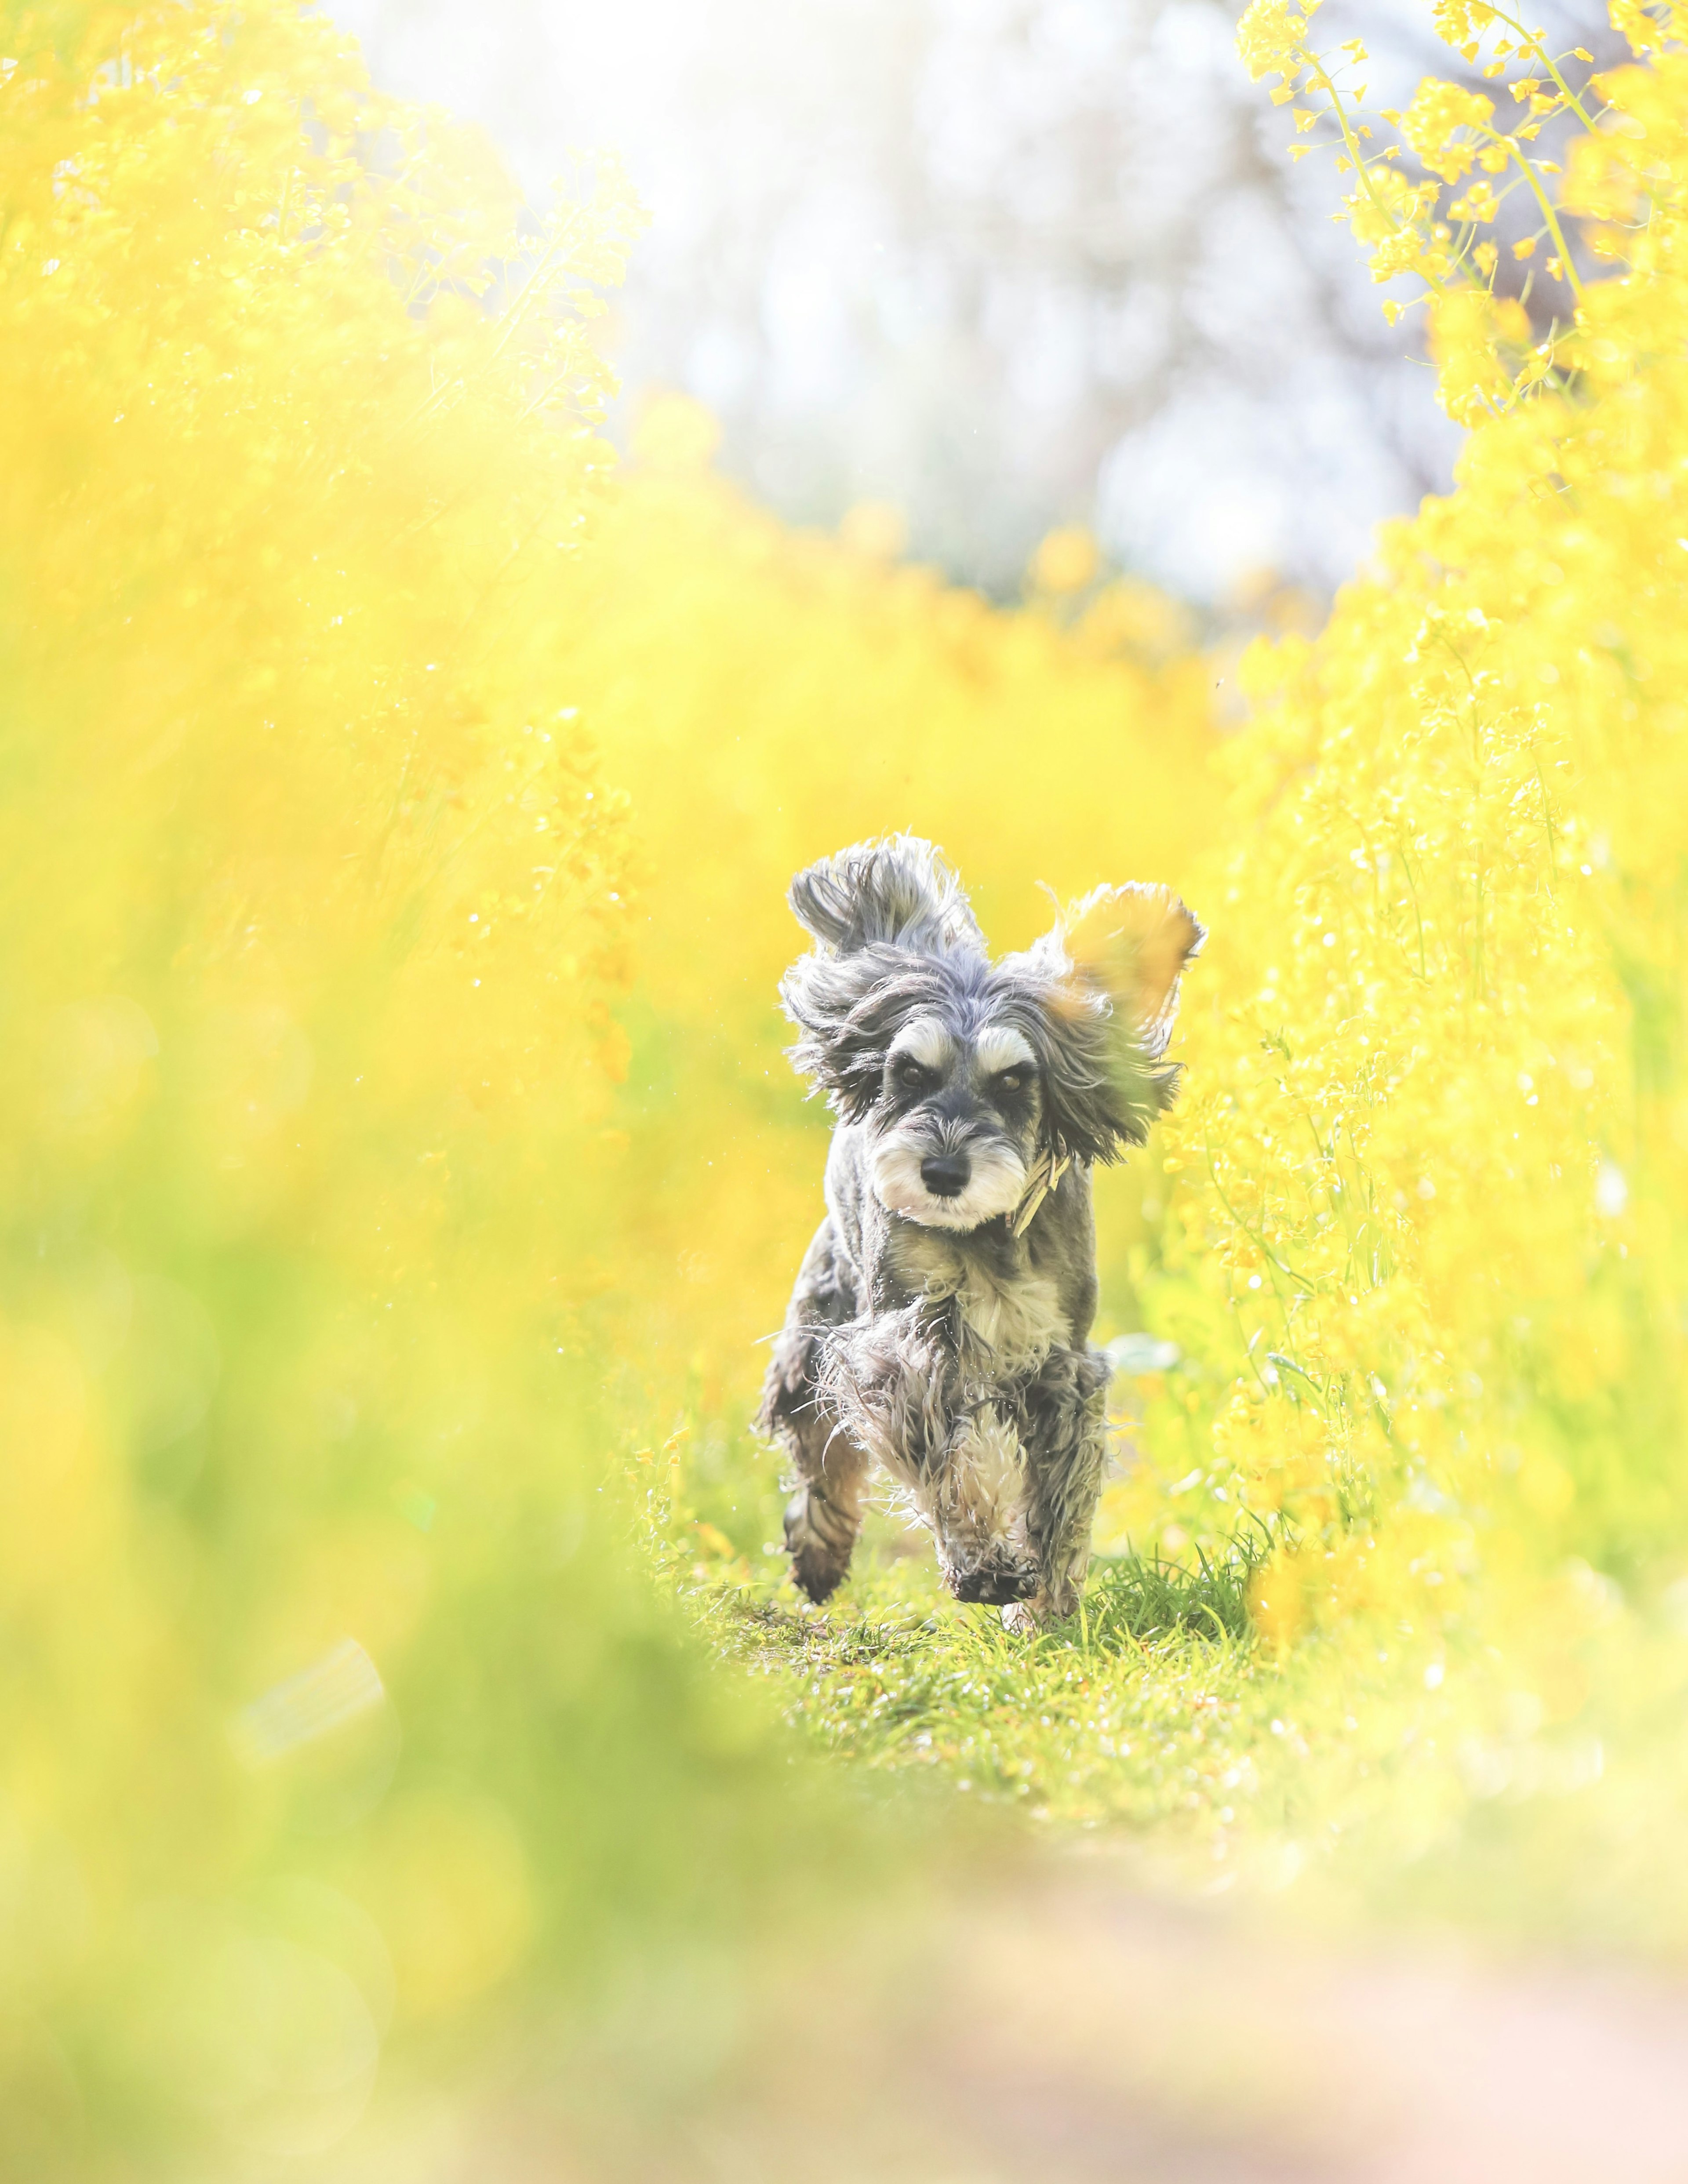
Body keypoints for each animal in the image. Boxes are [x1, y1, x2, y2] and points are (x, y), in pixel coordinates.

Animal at [755, 834, 1205, 1624]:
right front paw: (984, 1565)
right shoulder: (905, 1347)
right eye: (910, 1071)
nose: (942, 1171)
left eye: (1013, 1080)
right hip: (818, 1326)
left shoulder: (1061, 1366)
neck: (983, 1236)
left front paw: (1047, 1606)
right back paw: (819, 1550)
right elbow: (948, 1461)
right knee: (821, 1452)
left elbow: (1061, 1496)